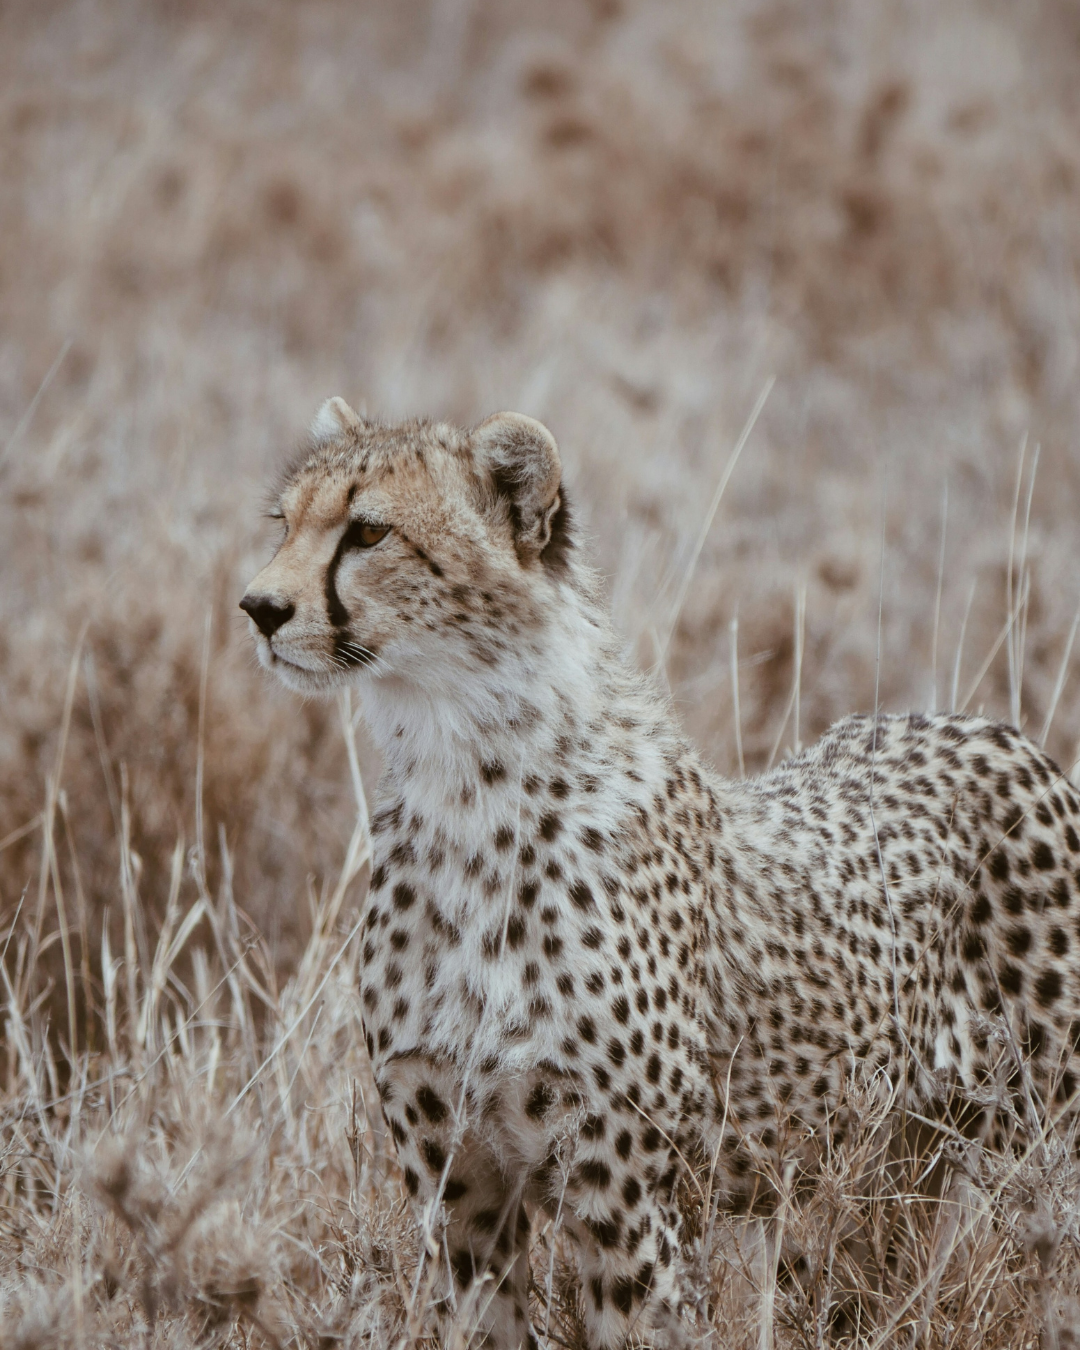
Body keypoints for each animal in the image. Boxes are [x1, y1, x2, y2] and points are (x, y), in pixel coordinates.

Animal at [241, 396, 1080, 1350]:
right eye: (284, 522)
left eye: (370, 531)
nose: (259, 607)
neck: (461, 779)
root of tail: (988, 728)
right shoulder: (460, 1194)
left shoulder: (628, 1198)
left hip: (1039, 1142)